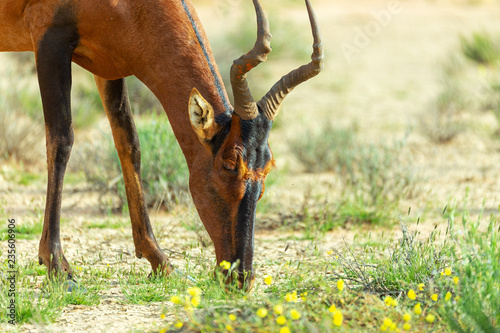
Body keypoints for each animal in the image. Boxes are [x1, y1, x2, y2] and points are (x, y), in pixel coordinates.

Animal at [0, 0, 324, 286]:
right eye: (230, 164)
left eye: (267, 167)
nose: (239, 277)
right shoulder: (49, 41)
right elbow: (61, 139)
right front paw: (59, 269)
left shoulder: (108, 66)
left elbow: (129, 142)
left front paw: (161, 262)